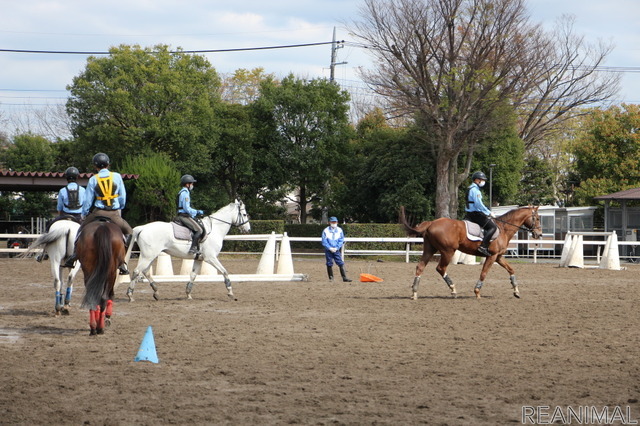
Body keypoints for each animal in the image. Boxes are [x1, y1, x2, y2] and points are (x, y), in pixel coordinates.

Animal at [400, 206, 540, 300]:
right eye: (537, 218)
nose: (539, 234)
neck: (503, 229)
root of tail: (431, 223)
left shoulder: (498, 257)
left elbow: (511, 270)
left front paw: (516, 291)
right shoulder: (492, 256)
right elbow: (484, 273)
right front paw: (477, 291)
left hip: (430, 249)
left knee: (420, 267)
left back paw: (414, 292)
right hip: (448, 251)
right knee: (441, 268)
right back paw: (453, 290)